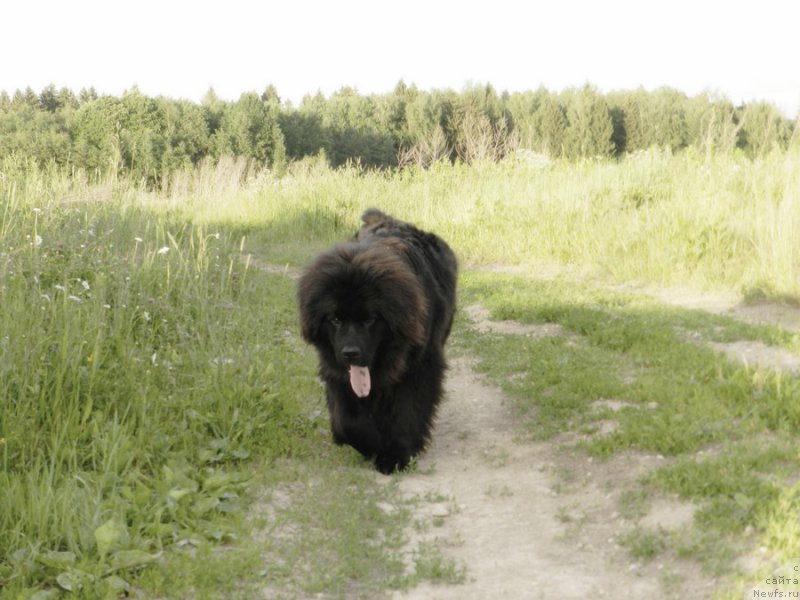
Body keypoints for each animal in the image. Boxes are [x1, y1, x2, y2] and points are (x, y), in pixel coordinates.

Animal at [296, 209, 456, 476]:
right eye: (335, 319)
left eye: (370, 319)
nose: (350, 352)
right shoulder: (336, 370)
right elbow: (347, 420)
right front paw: (370, 444)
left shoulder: (420, 365)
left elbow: (408, 410)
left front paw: (396, 454)